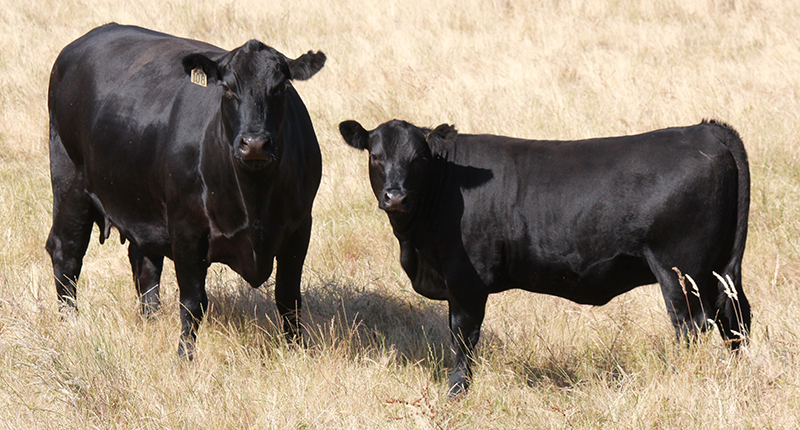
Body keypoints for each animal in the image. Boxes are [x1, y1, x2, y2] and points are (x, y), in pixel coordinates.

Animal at [46, 24, 324, 360]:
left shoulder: (299, 227)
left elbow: (288, 297)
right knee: (66, 252)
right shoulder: (186, 229)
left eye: (281, 88)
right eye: (227, 89)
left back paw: (149, 321)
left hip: (141, 204)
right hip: (70, 181)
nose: (255, 143)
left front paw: (298, 350)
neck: (253, 199)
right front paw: (185, 357)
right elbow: (193, 302)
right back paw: (69, 324)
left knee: (144, 263)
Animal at [340, 118, 752, 396]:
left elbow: (463, 333)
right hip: (720, 269)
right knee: (735, 316)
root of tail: (705, 129)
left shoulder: (465, 278)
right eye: (375, 157)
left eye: (419, 159)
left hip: (680, 269)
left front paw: (457, 390)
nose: (396, 196)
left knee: (692, 324)